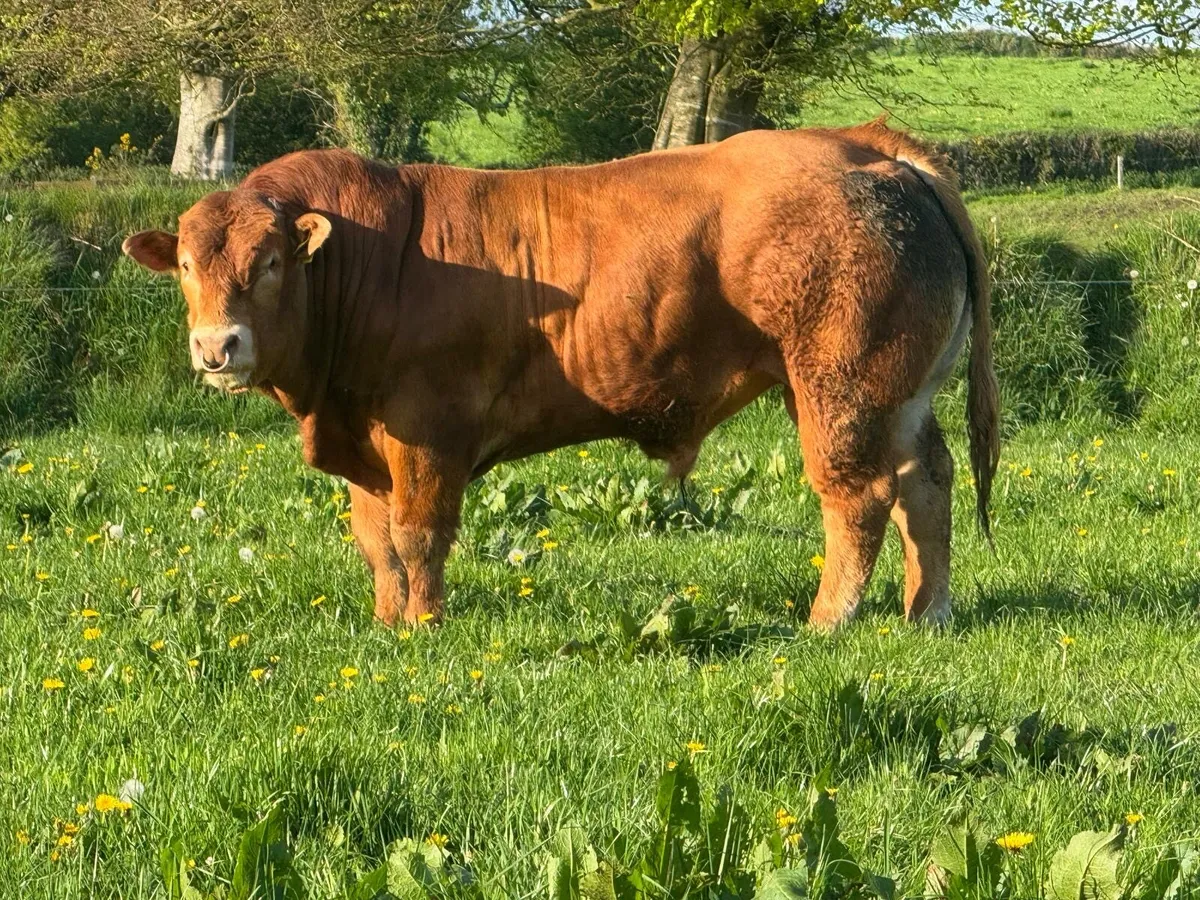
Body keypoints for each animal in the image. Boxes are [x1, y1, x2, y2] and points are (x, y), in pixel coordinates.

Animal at [123, 119, 999, 631]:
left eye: (270, 263)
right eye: (188, 266)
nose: (217, 347)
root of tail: (868, 145)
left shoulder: (427, 430)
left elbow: (418, 534)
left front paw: (425, 626)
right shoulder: (368, 441)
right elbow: (377, 540)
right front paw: (387, 621)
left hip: (837, 385)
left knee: (859, 496)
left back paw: (830, 619)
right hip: (899, 392)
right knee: (927, 482)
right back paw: (928, 612)